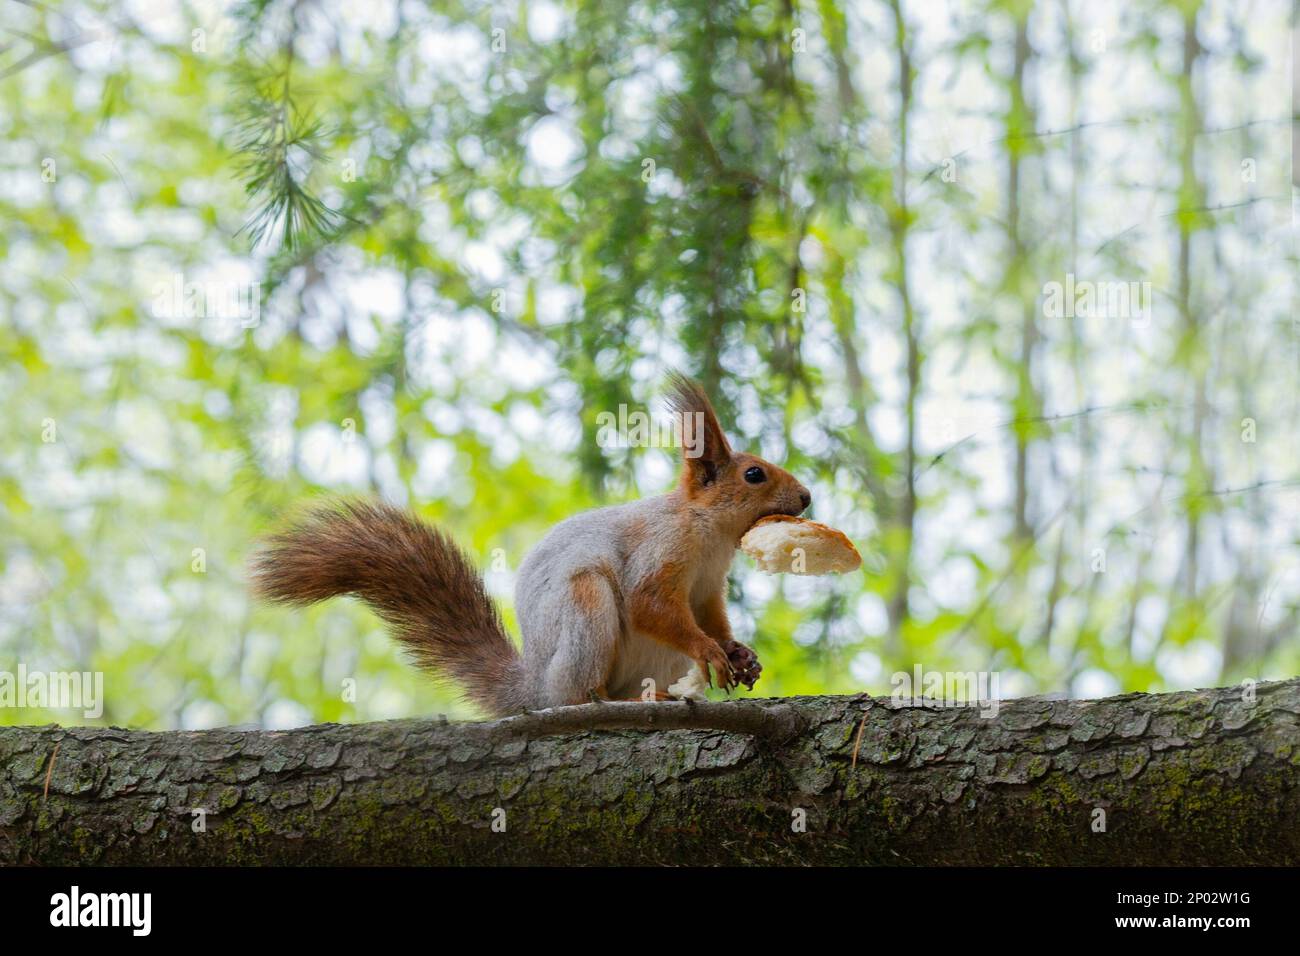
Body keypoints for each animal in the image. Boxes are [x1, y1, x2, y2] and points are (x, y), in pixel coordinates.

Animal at [251, 372, 811, 717]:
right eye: (755, 474)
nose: (806, 497)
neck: (710, 533)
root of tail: (538, 690)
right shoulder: (659, 550)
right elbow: (650, 604)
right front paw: (708, 650)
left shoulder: (708, 586)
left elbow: (712, 617)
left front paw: (740, 653)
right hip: (585, 612)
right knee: (584, 694)